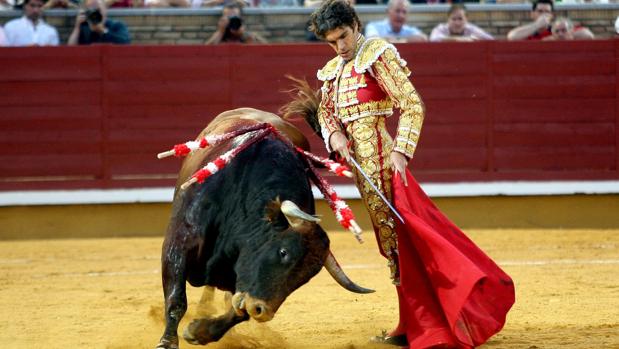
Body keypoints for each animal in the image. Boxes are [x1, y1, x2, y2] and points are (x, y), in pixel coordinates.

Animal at [157, 109, 376, 348]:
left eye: (306, 277)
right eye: (283, 252)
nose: (261, 310)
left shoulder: (241, 275)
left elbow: (238, 312)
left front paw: (199, 331)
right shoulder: (178, 243)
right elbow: (177, 299)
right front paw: (167, 342)